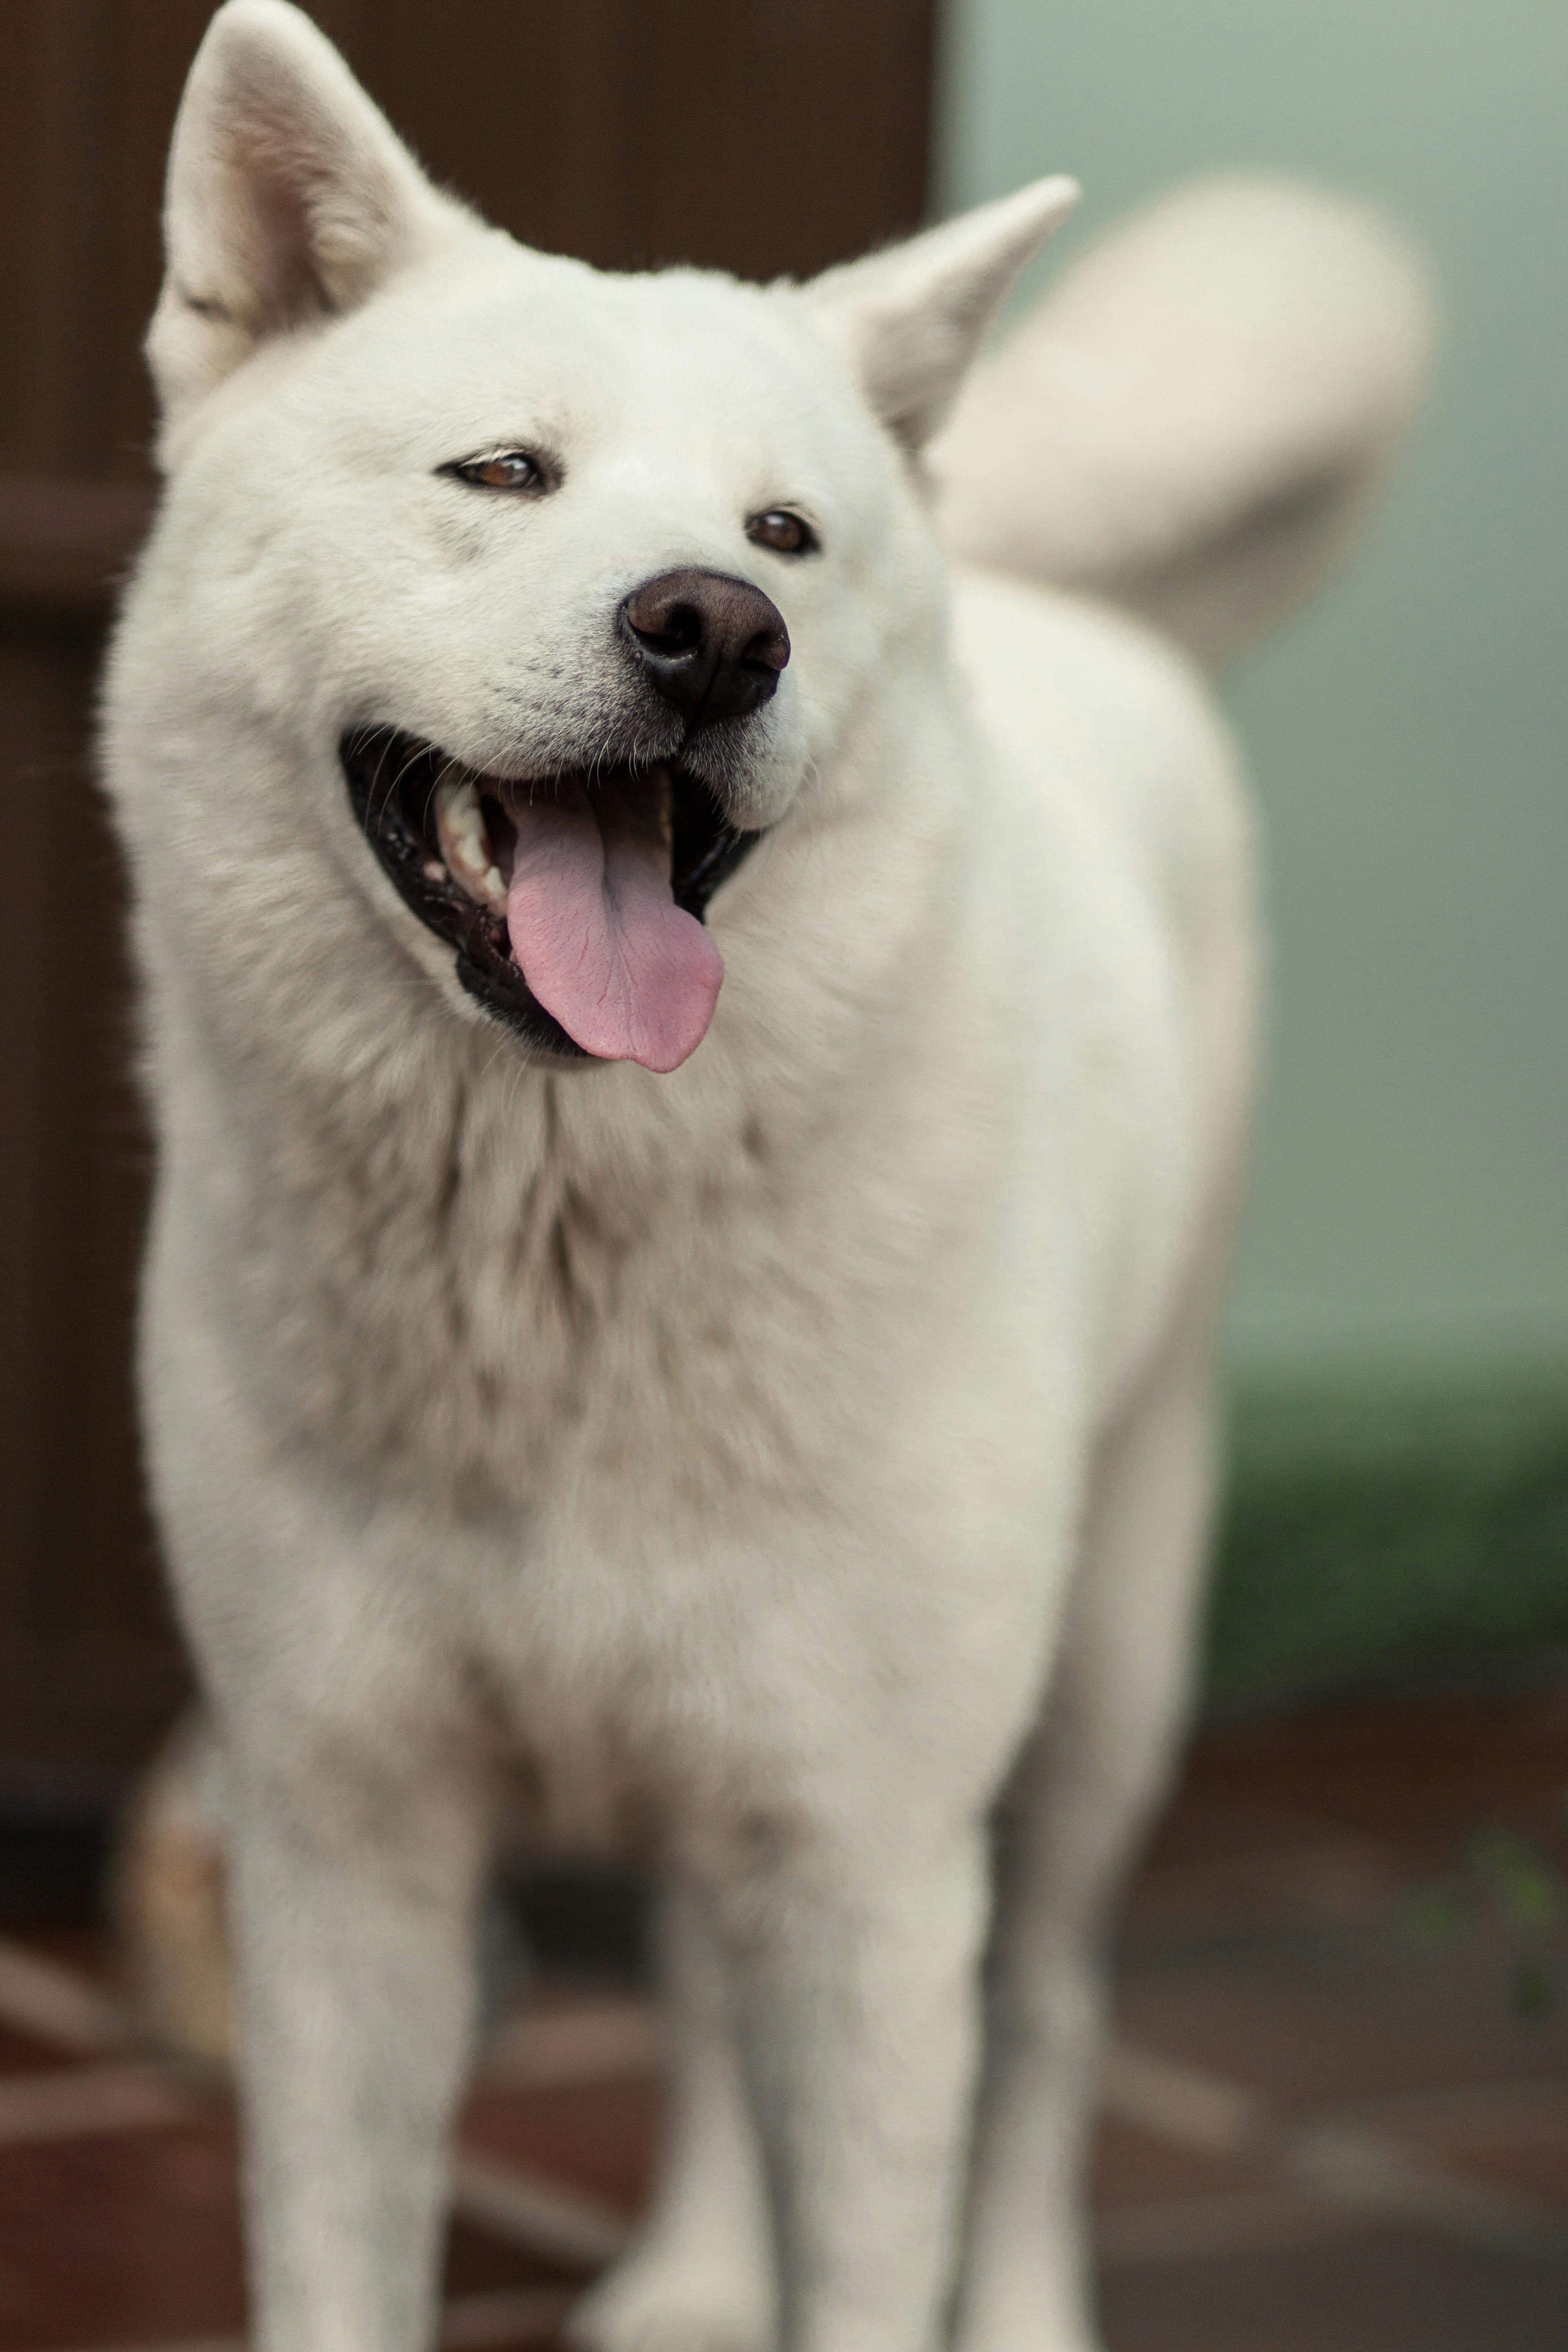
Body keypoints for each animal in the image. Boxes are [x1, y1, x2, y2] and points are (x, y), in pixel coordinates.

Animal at [101, 5, 1439, 2352]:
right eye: (502, 476)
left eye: (785, 534)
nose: (717, 630)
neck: (549, 1252)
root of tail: (1033, 580)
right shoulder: (343, 1849)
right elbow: (339, 2260)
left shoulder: (875, 1865)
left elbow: (903, 2208)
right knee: (707, 1990)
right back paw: (694, 2278)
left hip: (1103, 1678)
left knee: (1053, 2025)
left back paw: (1021, 2304)